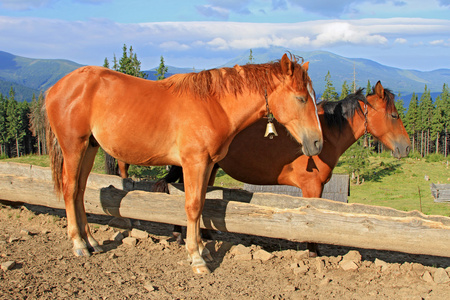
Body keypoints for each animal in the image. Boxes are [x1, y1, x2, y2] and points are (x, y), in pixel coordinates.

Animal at [44, 54, 322, 274]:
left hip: (89, 147)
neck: (214, 105)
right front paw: (197, 258)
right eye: (301, 98)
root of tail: (56, 88)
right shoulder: (193, 163)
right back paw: (79, 244)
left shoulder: (206, 165)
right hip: (74, 147)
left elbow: (201, 204)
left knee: (80, 191)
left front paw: (201, 249)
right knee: (70, 189)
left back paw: (92, 241)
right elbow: (193, 206)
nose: (318, 143)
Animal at [153, 82, 410, 255]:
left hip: (210, 167)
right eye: (393, 115)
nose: (406, 147)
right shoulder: (312, 187)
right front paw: (313, 253)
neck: (324, 133)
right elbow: (312, 220)